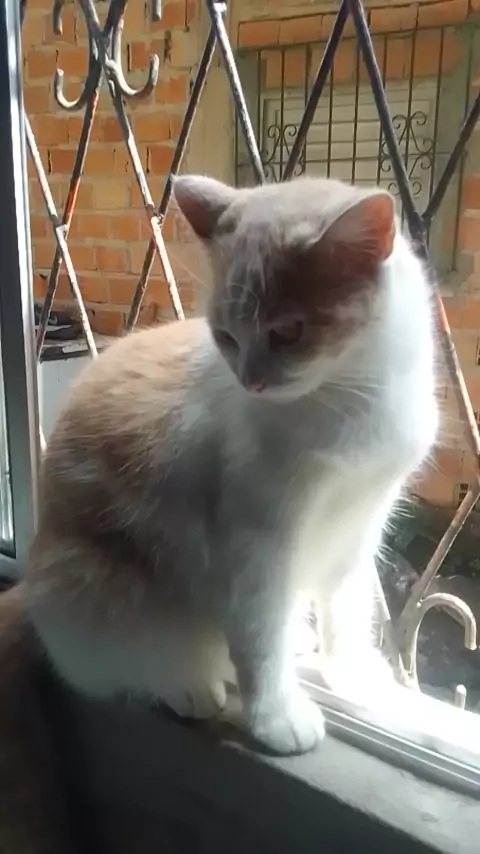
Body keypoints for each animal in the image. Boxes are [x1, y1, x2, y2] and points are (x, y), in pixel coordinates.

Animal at [22, 175, 438, 756]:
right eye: (226, 336)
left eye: (288, 332)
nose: (251, 381)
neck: (351, 397)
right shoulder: (255, 542)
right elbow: (260, 637)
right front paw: (277, 716)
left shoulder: (360, 524)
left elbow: (347, 612)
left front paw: (354, 679)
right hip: (94, 588)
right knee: (114, 664)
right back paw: (187, 686)